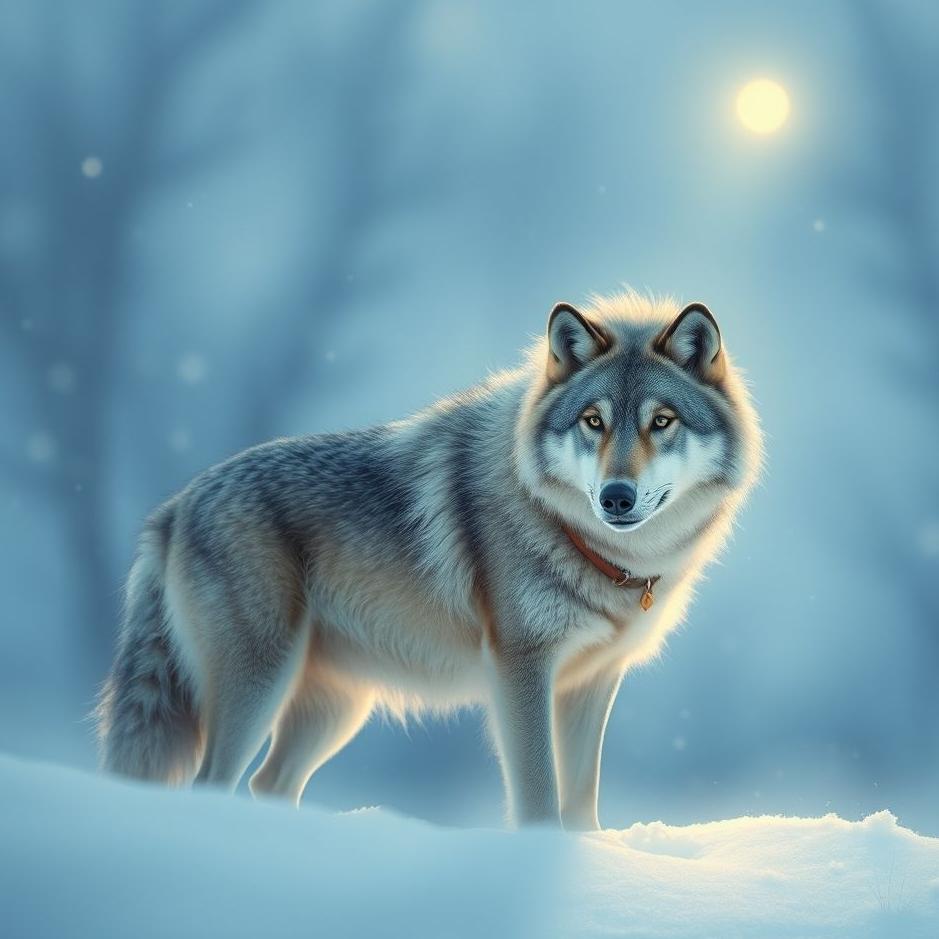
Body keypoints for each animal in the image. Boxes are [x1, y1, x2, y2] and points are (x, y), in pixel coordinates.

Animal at [96, 291, 761, 829]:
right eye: (593, 421)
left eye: (662, 421)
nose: (615, 497)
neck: (586, 546)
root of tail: (175, 505)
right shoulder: (520, 669)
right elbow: (540, 797)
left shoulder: (592, 682)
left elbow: (581, 802)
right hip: (262, 686)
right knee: (211, 784)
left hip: (334, 709)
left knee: (266, 783)